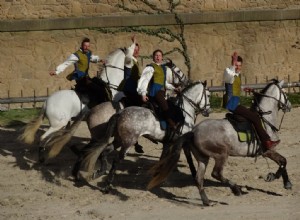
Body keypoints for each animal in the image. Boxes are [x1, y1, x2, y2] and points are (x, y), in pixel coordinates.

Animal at [74, 81, 211, 187]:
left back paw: (88, 174)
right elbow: (189, 159)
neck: (184, 111)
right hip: (122, 141)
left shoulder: (168, 143)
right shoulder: (183, 142)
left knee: (100, 151)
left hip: (116, 140)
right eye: (208, 95)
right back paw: (105, 183)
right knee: (111, 157)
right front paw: (194, 175)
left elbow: (163, 159)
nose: (208, 111)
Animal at [148, 79, 292, 206]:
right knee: (216, 173)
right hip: (221, 154)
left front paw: (286, 182)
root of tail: (193, 131)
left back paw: (207, 201)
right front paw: (275, 177)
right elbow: (283, 162)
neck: (265, 118)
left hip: (203, 158)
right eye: (285, 92)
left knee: (199, 178)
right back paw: (236, 189)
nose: (289, 105)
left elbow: (283, 161)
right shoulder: (267, 150)